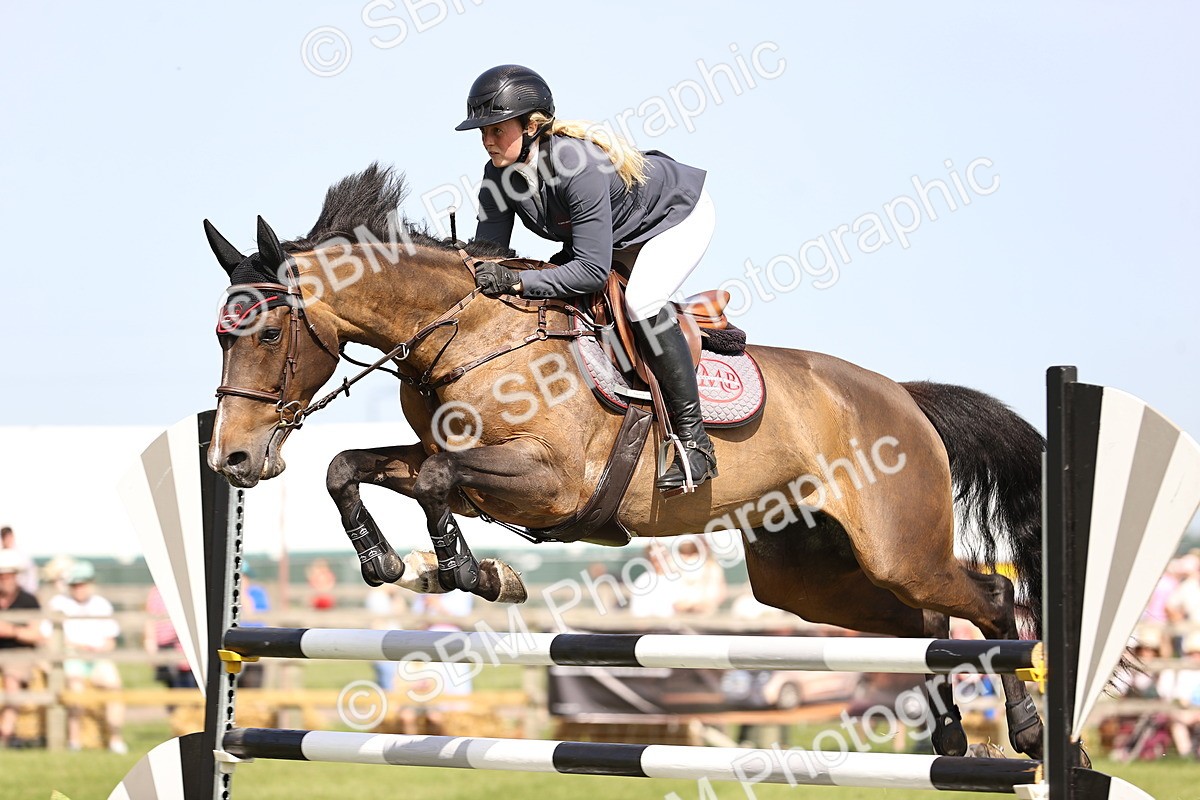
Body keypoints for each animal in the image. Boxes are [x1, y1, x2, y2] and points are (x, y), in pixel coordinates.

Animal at [205, 164, 1047, 760]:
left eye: (268, 334)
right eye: (222, 335)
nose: (232, 457)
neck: (468, 333)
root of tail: (903, 396)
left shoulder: (547, 484)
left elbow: (439, 483)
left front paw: (468, 571)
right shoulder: (455, 461)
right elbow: (350, 467)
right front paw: (398, 565)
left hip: (897, 547)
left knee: (991, 599)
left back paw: (1027, 732)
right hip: (809, 577)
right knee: (922, 624)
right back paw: (949, 738)